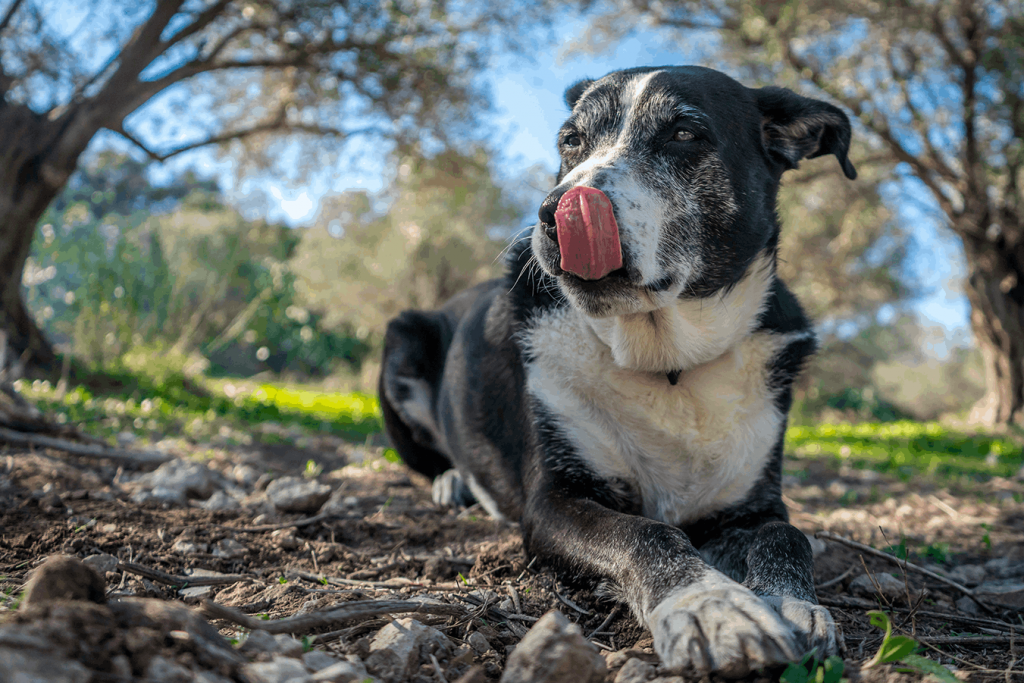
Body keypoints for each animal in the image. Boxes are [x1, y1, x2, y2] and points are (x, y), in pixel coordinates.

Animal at [376, 65, 856, 679]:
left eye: (684, 134)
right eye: (571, 140)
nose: (553, 214)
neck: (666, 362)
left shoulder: (752, 503)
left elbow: (786, 535)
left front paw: (793, 604)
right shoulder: (554, 503)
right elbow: (648, 534)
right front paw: (710, 604)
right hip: (402, 340)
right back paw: (453, 481)